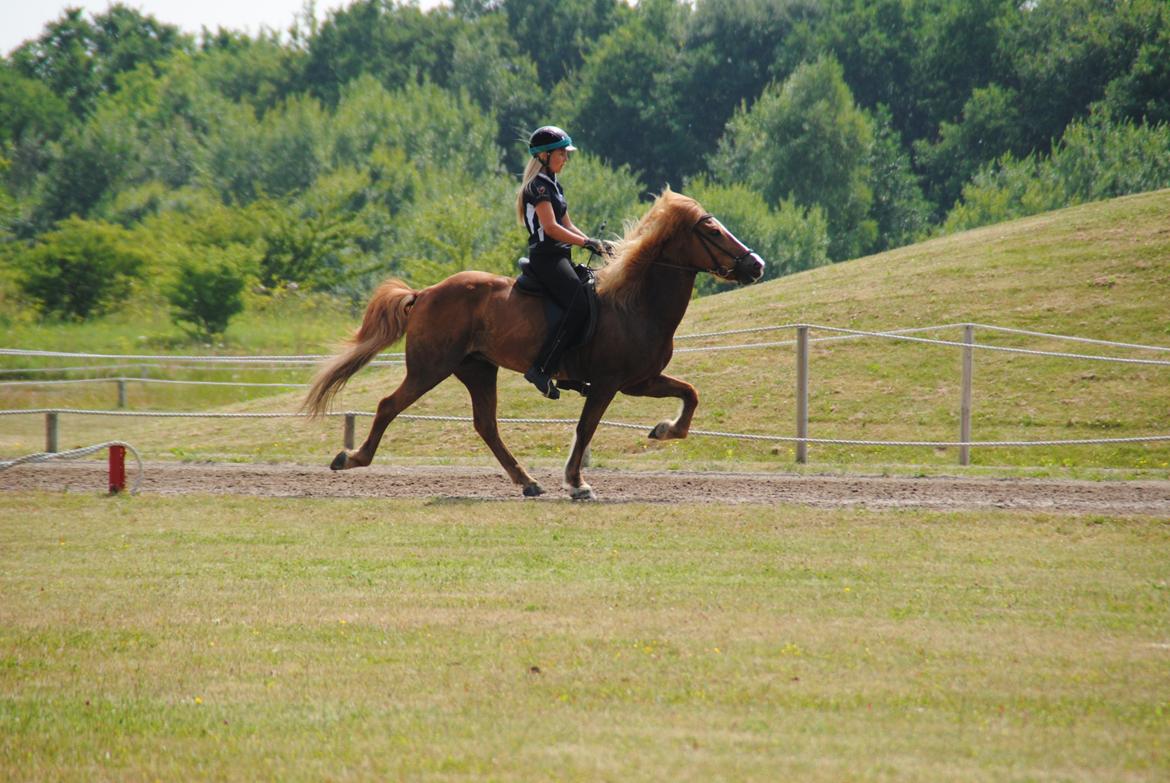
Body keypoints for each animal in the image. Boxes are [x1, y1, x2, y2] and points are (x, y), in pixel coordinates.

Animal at [301, 186, 762, 498]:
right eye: (713, 231)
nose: (755, 265)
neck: (634, 303)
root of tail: (427, 292)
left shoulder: (640, 381)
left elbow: (690, 393)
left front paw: (665, 430)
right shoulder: (609, 384)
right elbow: (586, 428)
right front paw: (577, 483)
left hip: (477, 369)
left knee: (485, 425)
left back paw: (527, 481)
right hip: (430, 367)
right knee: (388, 406)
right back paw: (352, 458)